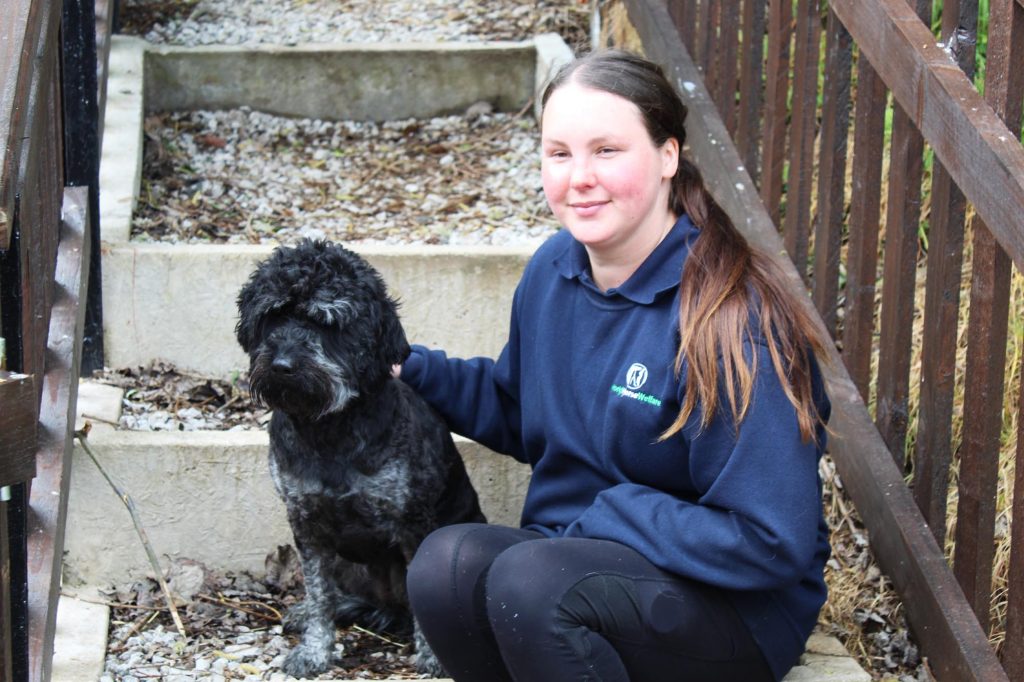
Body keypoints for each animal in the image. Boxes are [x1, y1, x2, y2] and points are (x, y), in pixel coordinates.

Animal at [235, 238, 483, 675]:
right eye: (272, 316)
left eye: (327, 322)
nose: (281, 365)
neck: (328, 432)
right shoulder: (306, 523)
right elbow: (319, 594)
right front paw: (315, 650)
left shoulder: (412, 522)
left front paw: (431, 657)